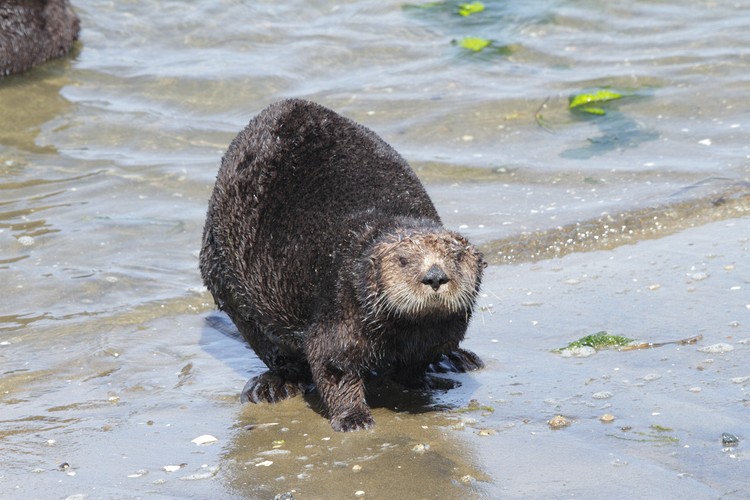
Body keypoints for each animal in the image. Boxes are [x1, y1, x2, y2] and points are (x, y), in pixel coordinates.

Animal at [200, 99, 485, 431]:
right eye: (403, 260)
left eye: (457, 257)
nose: (435, 276)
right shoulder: (339, 307)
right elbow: (332, 364)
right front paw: (354, 419)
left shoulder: (440, 333)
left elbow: (415, 364)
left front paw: (428, 377)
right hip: (227, 285)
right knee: (277, 352)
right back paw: (273, 386)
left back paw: (453, 360)